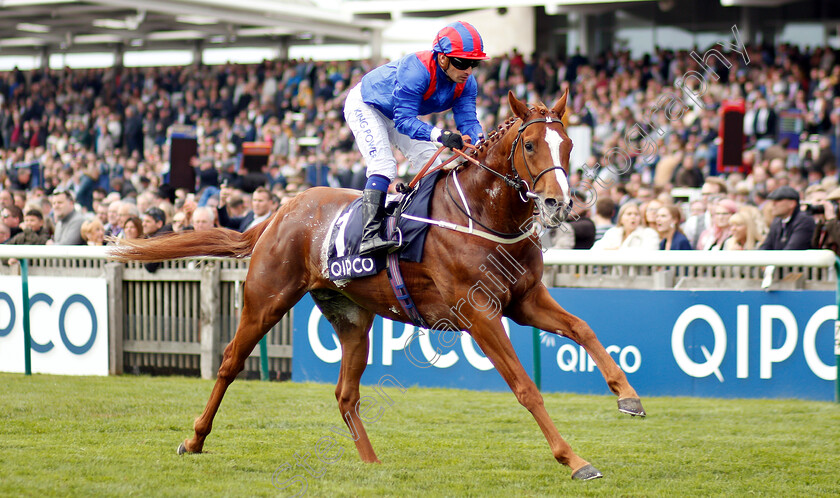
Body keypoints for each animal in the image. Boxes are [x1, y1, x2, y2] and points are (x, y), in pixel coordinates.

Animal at [111, 91, 644, 480]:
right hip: (266, 300)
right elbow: (526, 387)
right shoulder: (480, 313)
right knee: (228, 364)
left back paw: (371, 465)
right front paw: (575, 460)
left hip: (352, 319)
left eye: (569, 145)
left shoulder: (525, 300)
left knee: (345, 394)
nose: (559, 204)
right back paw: (194, 439)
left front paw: (628, 396)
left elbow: (583, 328)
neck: (483, 214)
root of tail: (279, 211)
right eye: (531, 145)